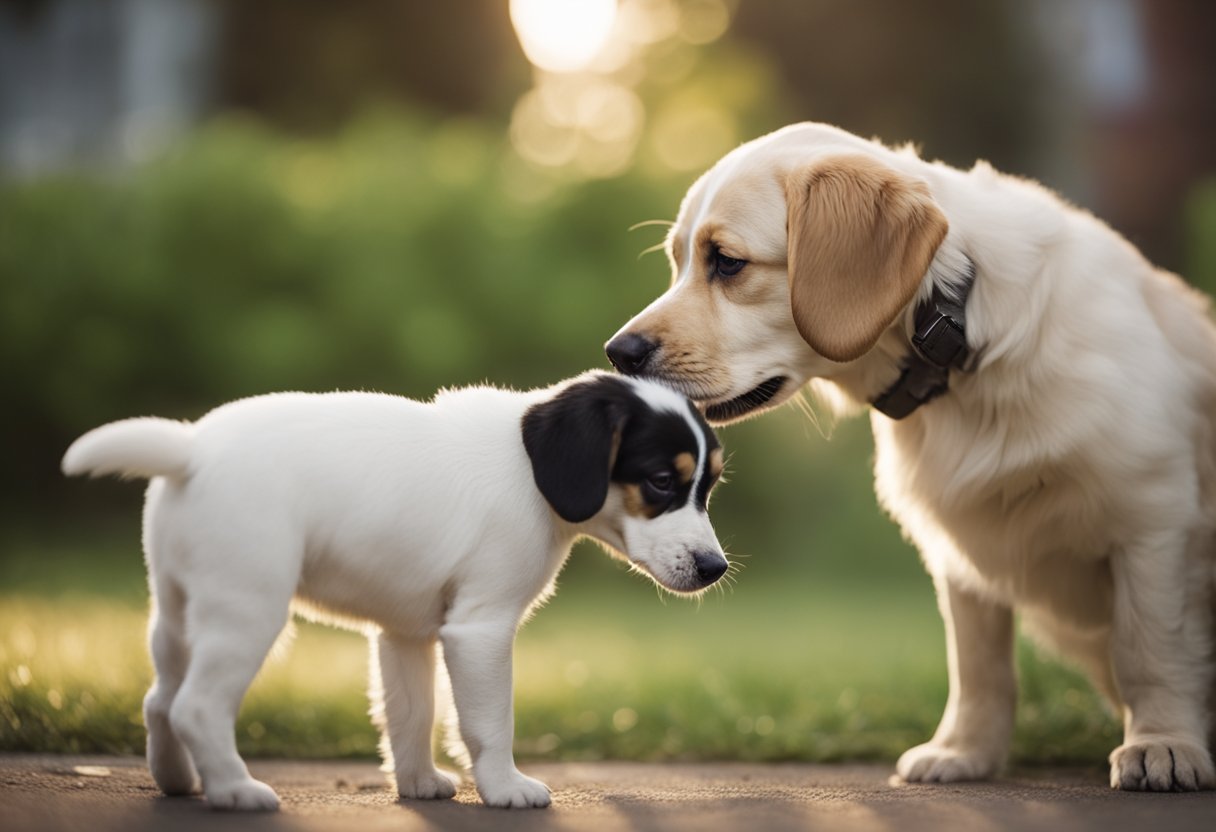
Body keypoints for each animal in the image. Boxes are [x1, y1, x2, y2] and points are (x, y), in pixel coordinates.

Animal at [64, 372, 719, 812]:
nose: (714, 567)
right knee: (196, 705)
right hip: (247, 613)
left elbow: (411, 713)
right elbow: (489, 722)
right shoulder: (480, 630)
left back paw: (178, 781)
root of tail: (192, 450)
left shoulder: (405, 633)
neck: (530, 471)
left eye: (708, 486)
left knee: (159, 700)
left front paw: (418, 783)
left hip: (176, 612)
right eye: (662, 481)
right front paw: (505, 788)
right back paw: (235, 790)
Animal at [608, 120, 1216, 788]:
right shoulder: (963, 552)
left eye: (726, 261)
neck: (962, 335)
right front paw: (964, 750)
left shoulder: (1154, 519)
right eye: (679, 261)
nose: (618, 352)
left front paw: (1162, 742)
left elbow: (1149, 647)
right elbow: (977, 665)